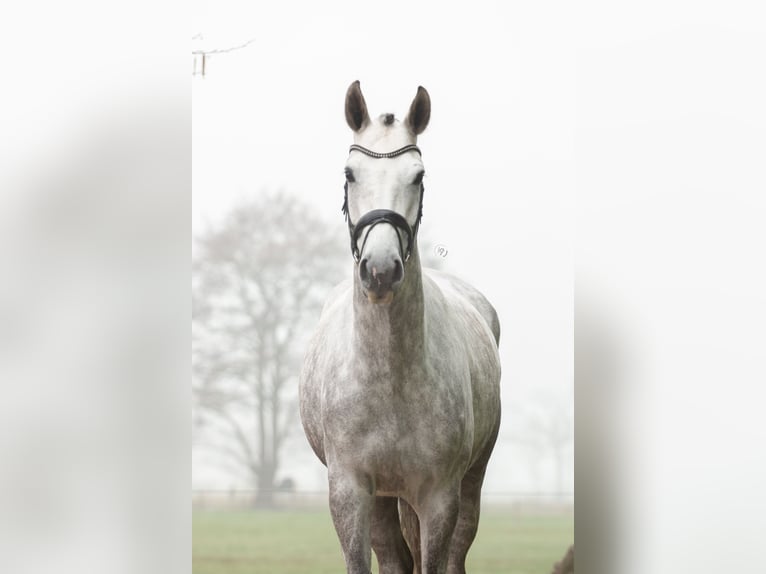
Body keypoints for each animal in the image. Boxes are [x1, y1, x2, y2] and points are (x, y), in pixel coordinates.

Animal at [299, 81, 502, 574]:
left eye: (418, 176)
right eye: (350, 173)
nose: (381, 270)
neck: (390, 376)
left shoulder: (439, 498)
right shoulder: (350, 492)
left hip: (470, 485)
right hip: (381, 500)